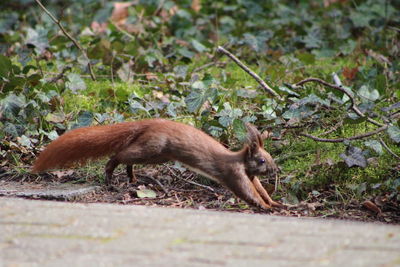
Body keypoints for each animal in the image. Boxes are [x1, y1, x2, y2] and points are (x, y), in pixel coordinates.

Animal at [32, 119, 282, 209]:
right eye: (261, 160)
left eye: (270, 157)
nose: (274, 169)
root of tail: (150, 123)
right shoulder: (234, 174)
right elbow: (247, 192)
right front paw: (266, 207)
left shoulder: (251, 176)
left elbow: (259, 189)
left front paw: (275, 202)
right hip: (153, 148)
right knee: (119, 155)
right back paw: (110, 173)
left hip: (157, 155)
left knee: (128, 158)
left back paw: (131, 177)